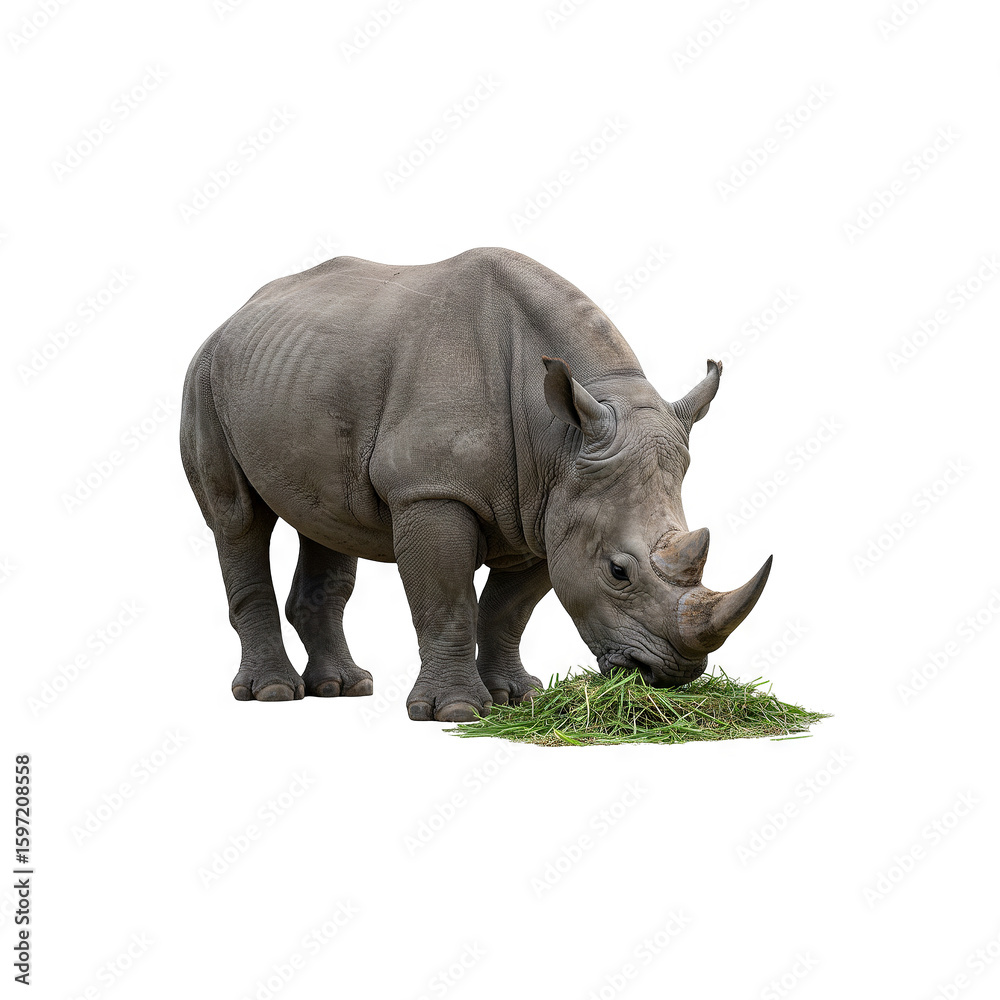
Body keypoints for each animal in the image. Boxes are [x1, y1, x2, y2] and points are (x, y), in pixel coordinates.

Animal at [180, 247, 771, 721]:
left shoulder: (548, 506)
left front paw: (518, 698)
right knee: (237, 520)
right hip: (204, 376)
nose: (672, 674)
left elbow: (508, 610)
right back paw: (272, 693)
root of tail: (233, 316)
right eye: (617, 572)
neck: (560, 436)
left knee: (326, 523)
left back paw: (342, 688)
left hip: (296, 371)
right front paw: (456, 712)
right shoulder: (431, 490)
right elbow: (447, 600)